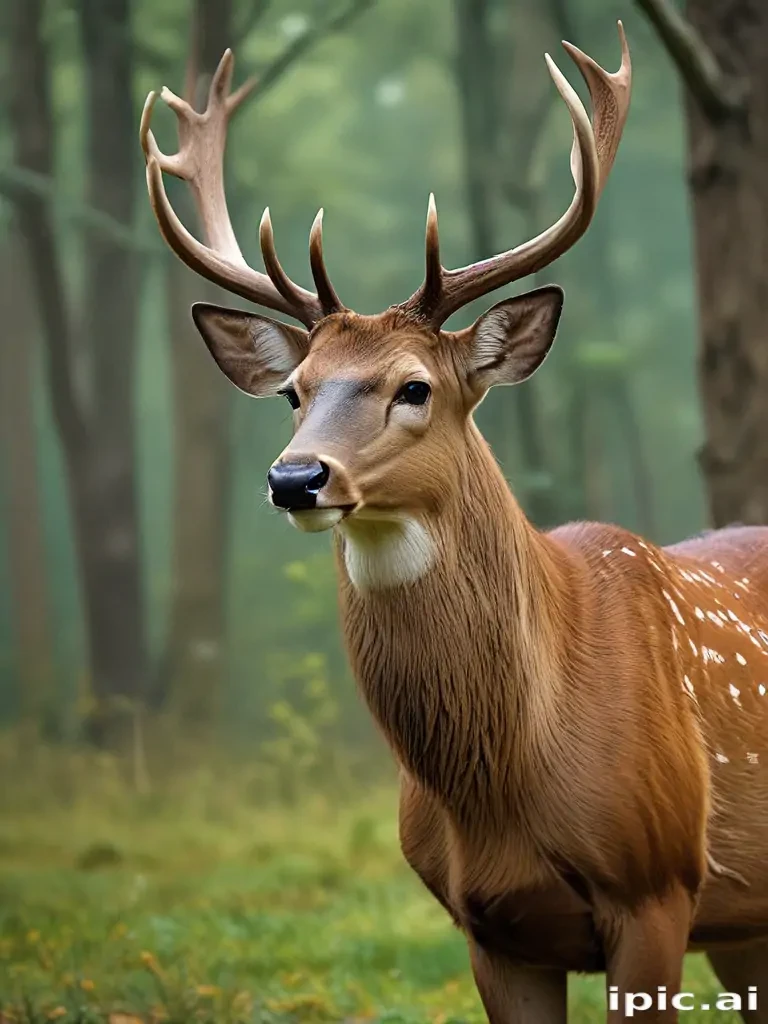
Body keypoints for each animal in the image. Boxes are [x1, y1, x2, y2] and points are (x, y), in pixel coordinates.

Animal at [141, 23, 768, 1023]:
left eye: (414, 387)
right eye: (293, 392)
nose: (295, 478)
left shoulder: (658, 882)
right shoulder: (487, 924)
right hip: (744, 927)